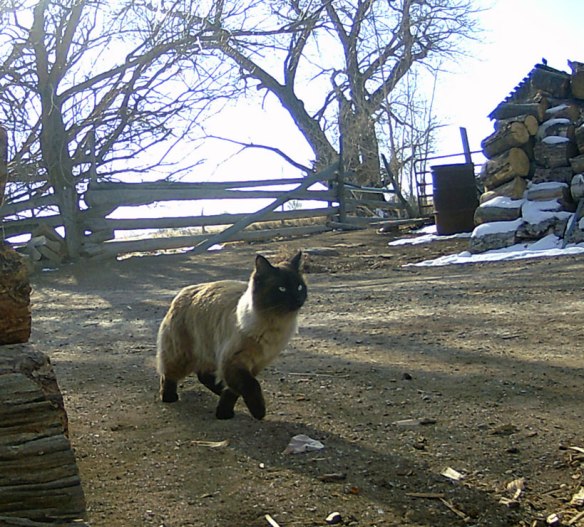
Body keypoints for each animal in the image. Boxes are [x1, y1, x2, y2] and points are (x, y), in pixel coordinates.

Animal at [156, 251, 307, 420]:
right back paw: (169, 397)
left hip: (209, 352)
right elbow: (252, 385)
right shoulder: (234, 361)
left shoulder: (255, 364)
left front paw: (224, 412)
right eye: (282, 289)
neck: (274, 325)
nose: (298, 299)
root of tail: (184, 291)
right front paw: (258, 412)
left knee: (204, 374)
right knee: (169, 374)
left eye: (299, 287)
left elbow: (232, 392)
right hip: (182, 354)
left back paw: (218, 390)